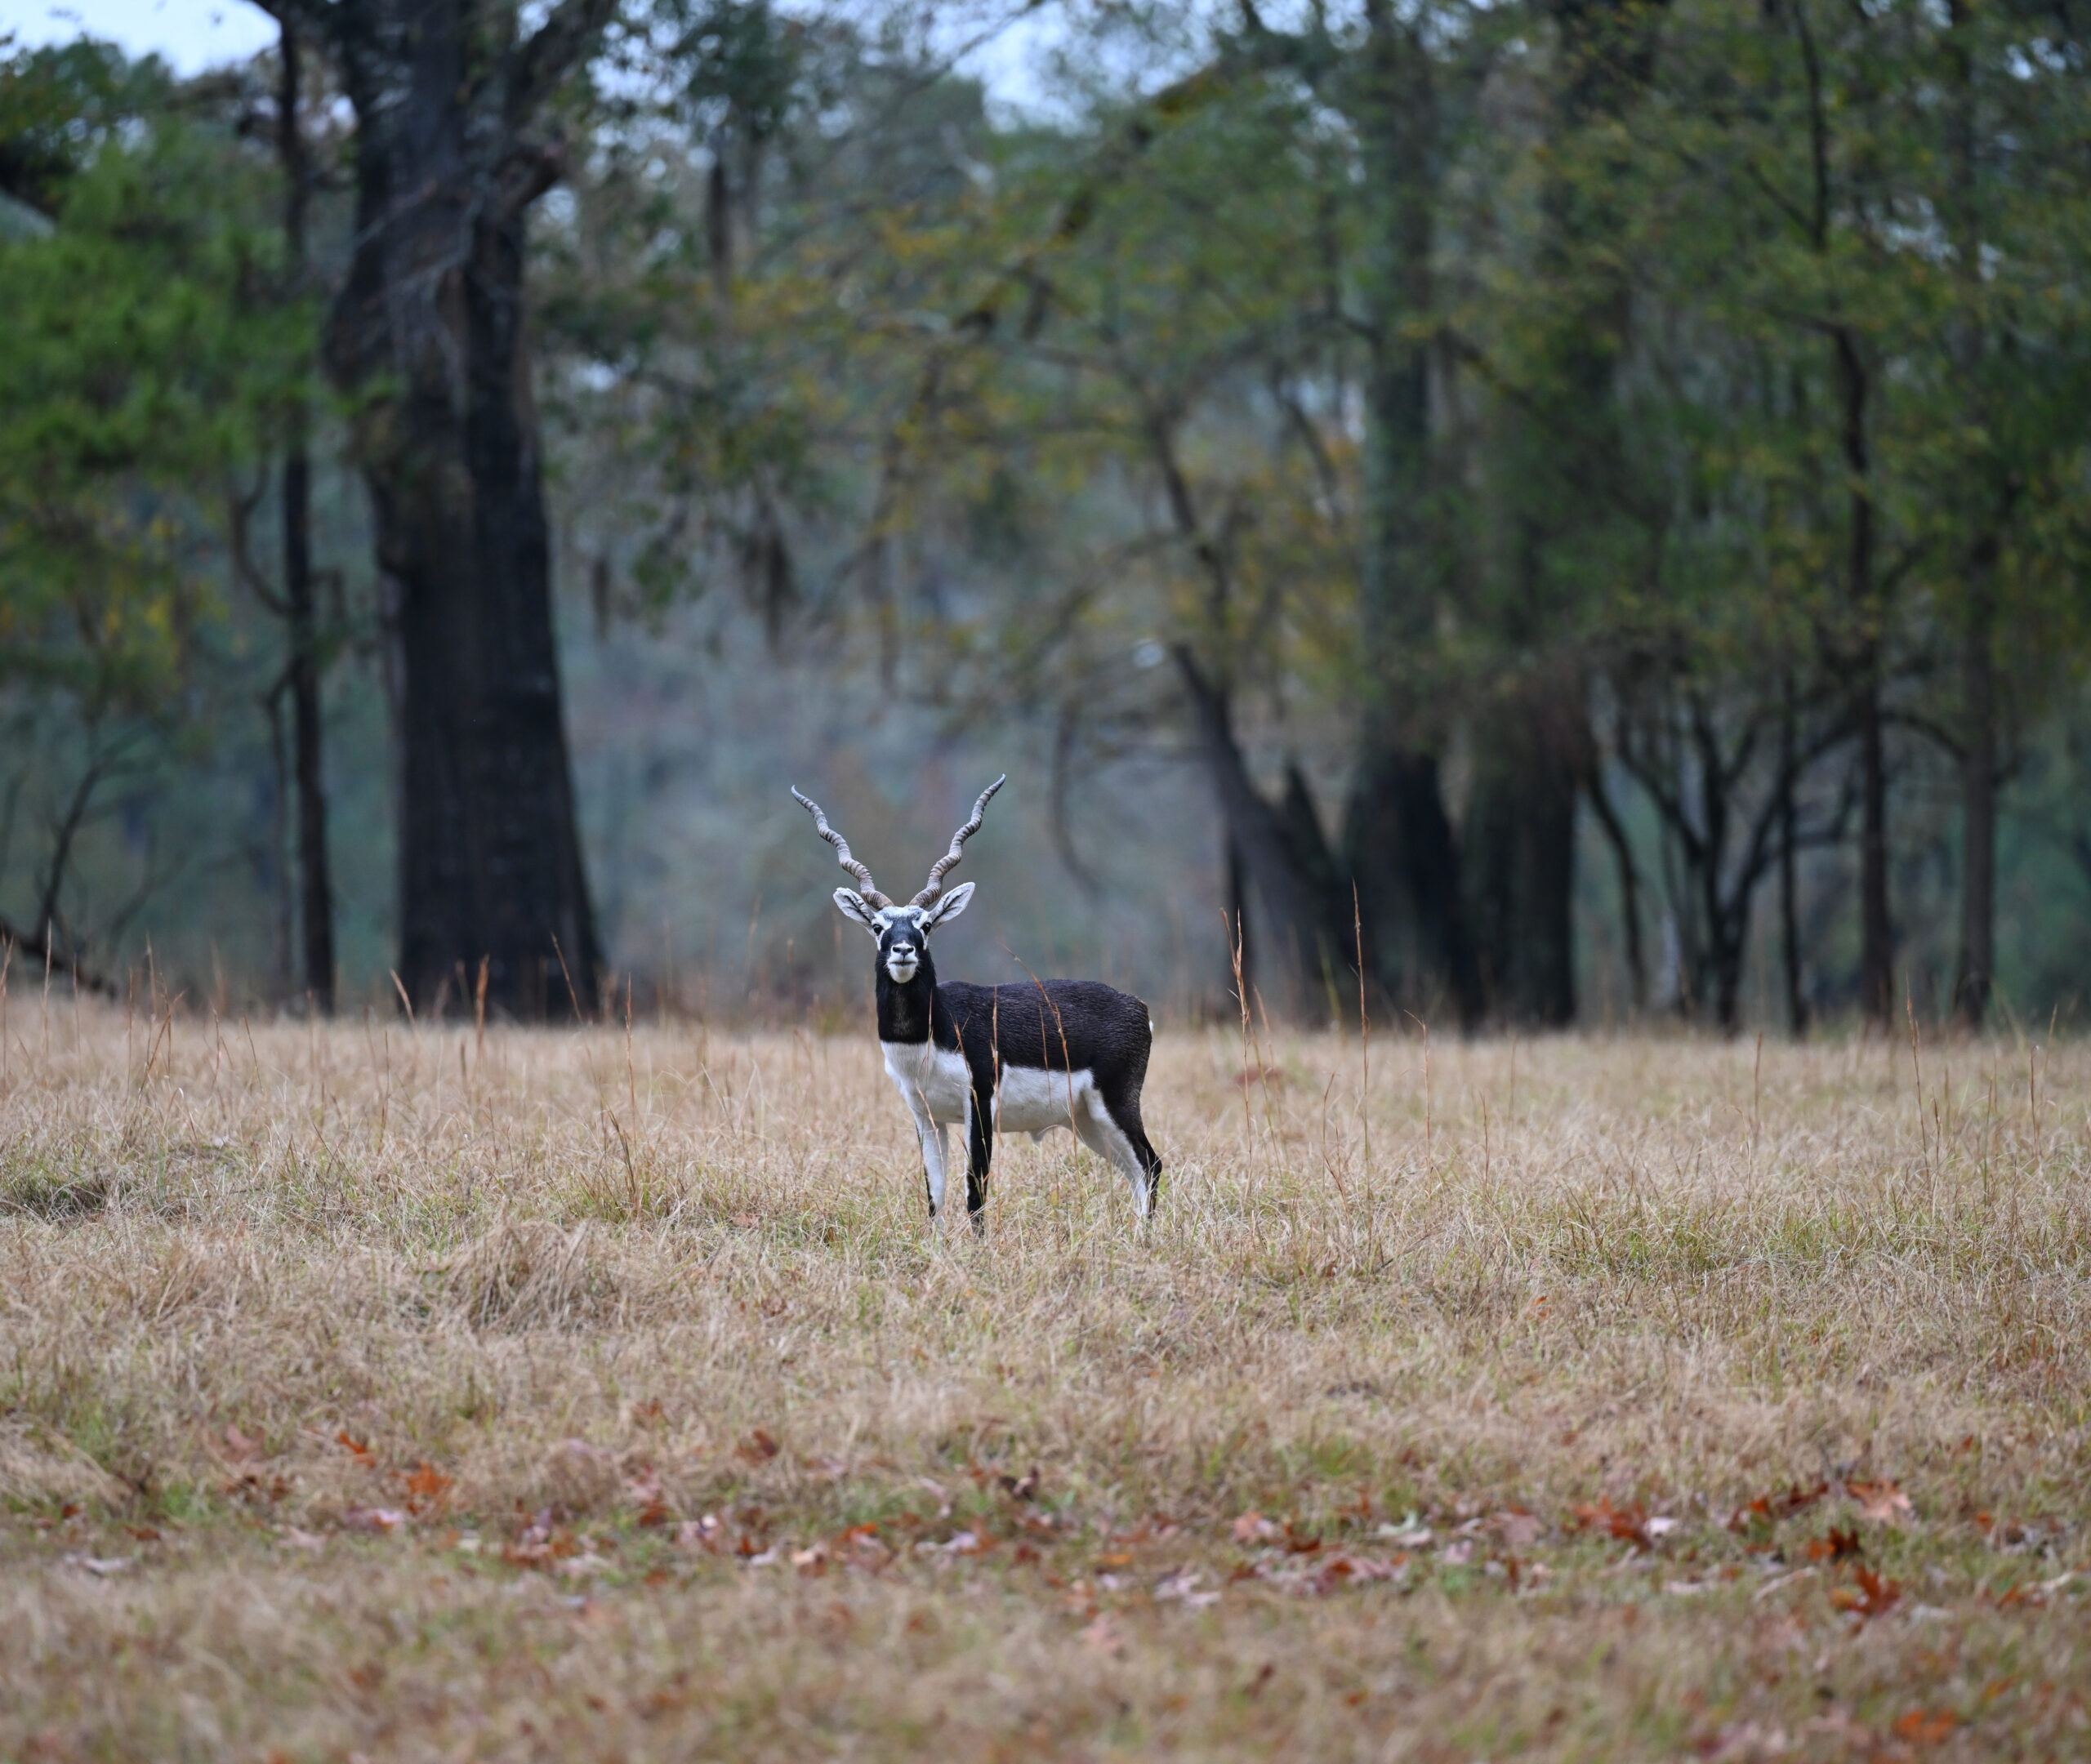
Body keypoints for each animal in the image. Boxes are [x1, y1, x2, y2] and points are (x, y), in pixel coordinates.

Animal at [790, 777, 1170, 1237]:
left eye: (926, 925)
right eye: (879, 927)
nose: (902, 950)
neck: (936, 1031)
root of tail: (1138, 1008)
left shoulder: (980, 1103)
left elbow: (975, 1187)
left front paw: (978, 1248)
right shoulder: (926, 1115)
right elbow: (935, 1193)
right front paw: (936, 1249)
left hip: (1115, 1105)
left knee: (1151, 1164)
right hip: (1088, 1122)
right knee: (1135, 1171)